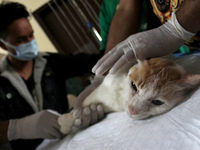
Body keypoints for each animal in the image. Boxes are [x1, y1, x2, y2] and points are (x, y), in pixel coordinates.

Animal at [58, 56, 200, 134]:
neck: (119, 100)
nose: (132, 109)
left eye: (158, 102)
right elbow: (80, 107)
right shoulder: (101, 90)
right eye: (134, 86)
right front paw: (66, 122)